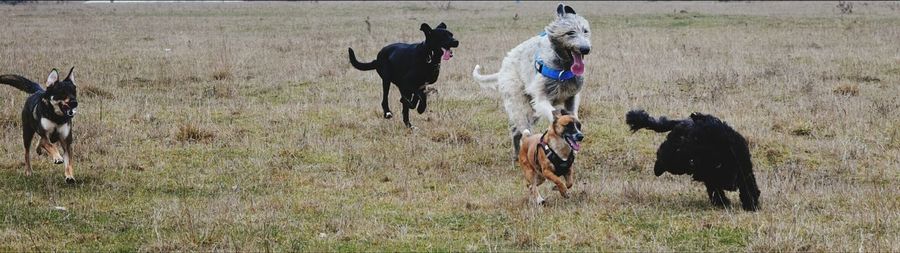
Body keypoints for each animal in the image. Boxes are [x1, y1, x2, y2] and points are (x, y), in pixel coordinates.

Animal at [474, 2, 596, 156]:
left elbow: (573, 113)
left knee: (517, 130)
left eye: (585, 31)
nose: (586, 49)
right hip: (519, 101)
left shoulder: (571, 97)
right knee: (520, 127)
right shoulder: (541, 98)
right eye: (570, 32)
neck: (563, 67)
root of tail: (502, 69)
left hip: (532, 110)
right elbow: (552, 114)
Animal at [624, 109, 760, 211]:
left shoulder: (742, 170)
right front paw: (724, 202)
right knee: (663, 156)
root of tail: (681, 122)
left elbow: (747, 187)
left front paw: (750, 204)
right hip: (676, 160)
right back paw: (658, 167)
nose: (731, 185)